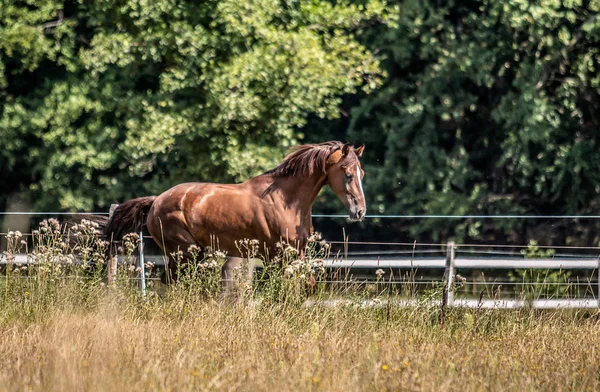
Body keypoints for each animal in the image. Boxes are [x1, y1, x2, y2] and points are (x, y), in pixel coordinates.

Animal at [103, 141, 366, 282]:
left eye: (361, 173)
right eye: (348, 174)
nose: (360, 211)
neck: (285, 200)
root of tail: (156, 201)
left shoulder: (296, 254)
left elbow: (305, 285)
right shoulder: (274, 255)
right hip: (185, 252)